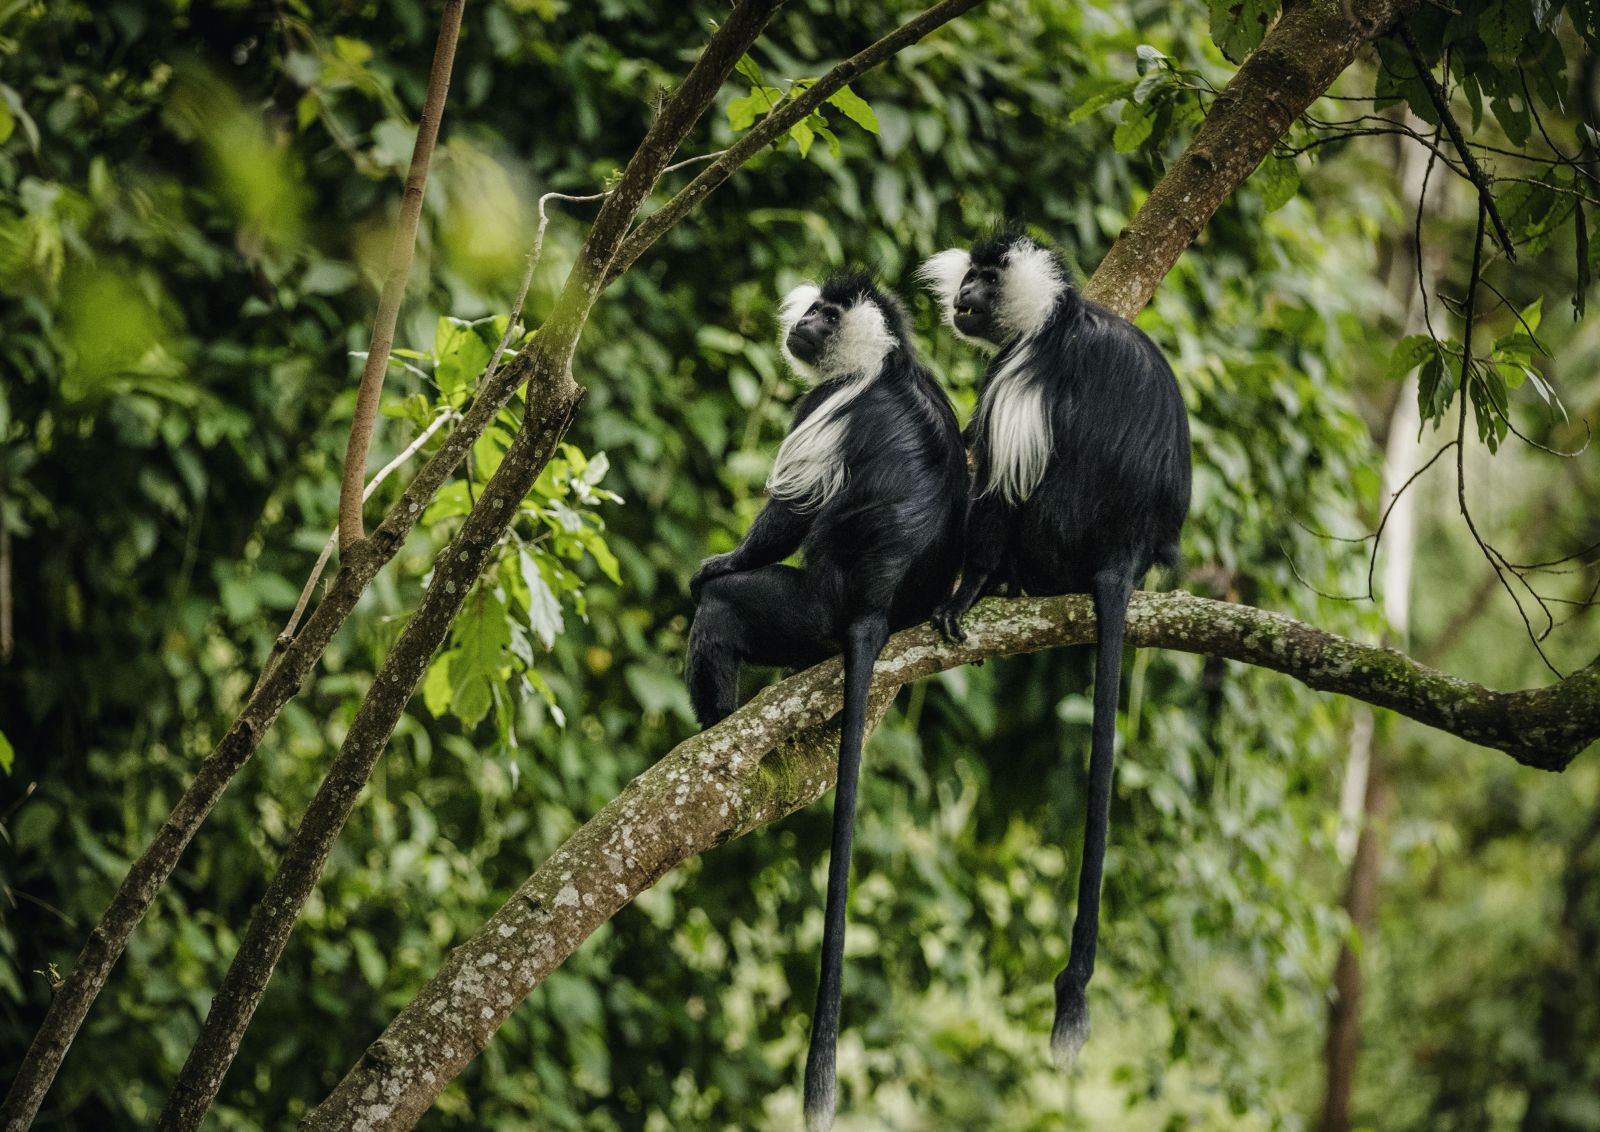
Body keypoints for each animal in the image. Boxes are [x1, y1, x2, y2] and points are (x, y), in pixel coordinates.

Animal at [684, 271, 960, 1125]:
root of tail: (870, 605)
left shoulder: (826, 404)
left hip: (805, 611)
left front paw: (718, 561)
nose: (804, 321)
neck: (885, 358)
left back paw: (714, 726)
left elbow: (788, 514)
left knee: (728, 613)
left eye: (826, 315)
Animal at [915, 231, 1190, 1068]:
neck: (1055, 317)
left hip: (1054, 536)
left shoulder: (1020, 375)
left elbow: (998, 488)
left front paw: (965, 593)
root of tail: (1123, 553)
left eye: (984, 278)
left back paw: (999, 585)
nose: (962, 295)